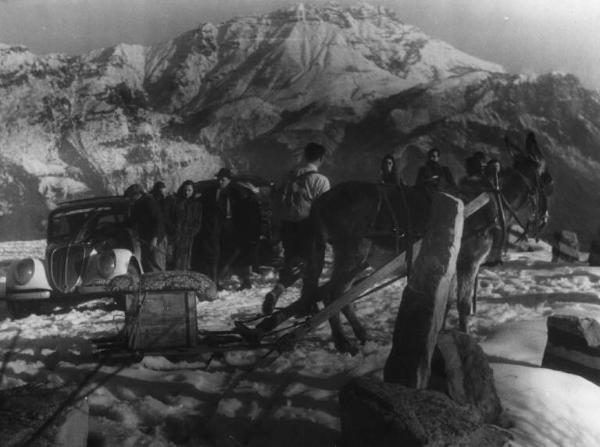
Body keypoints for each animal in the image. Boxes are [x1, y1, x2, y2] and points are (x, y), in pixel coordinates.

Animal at [256, 131, 552, 356]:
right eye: (548, 179)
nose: (544, 220)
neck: (490, 201)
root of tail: (323, 199)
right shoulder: (469, 261)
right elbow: (463, 304)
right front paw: (468, 339)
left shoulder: (454, 263)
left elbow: (446, 303)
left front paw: (440, 334)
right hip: (353, 253)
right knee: (334, 295)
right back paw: (343, 342)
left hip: (359, 260)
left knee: (340, 295)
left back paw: (359, 333)